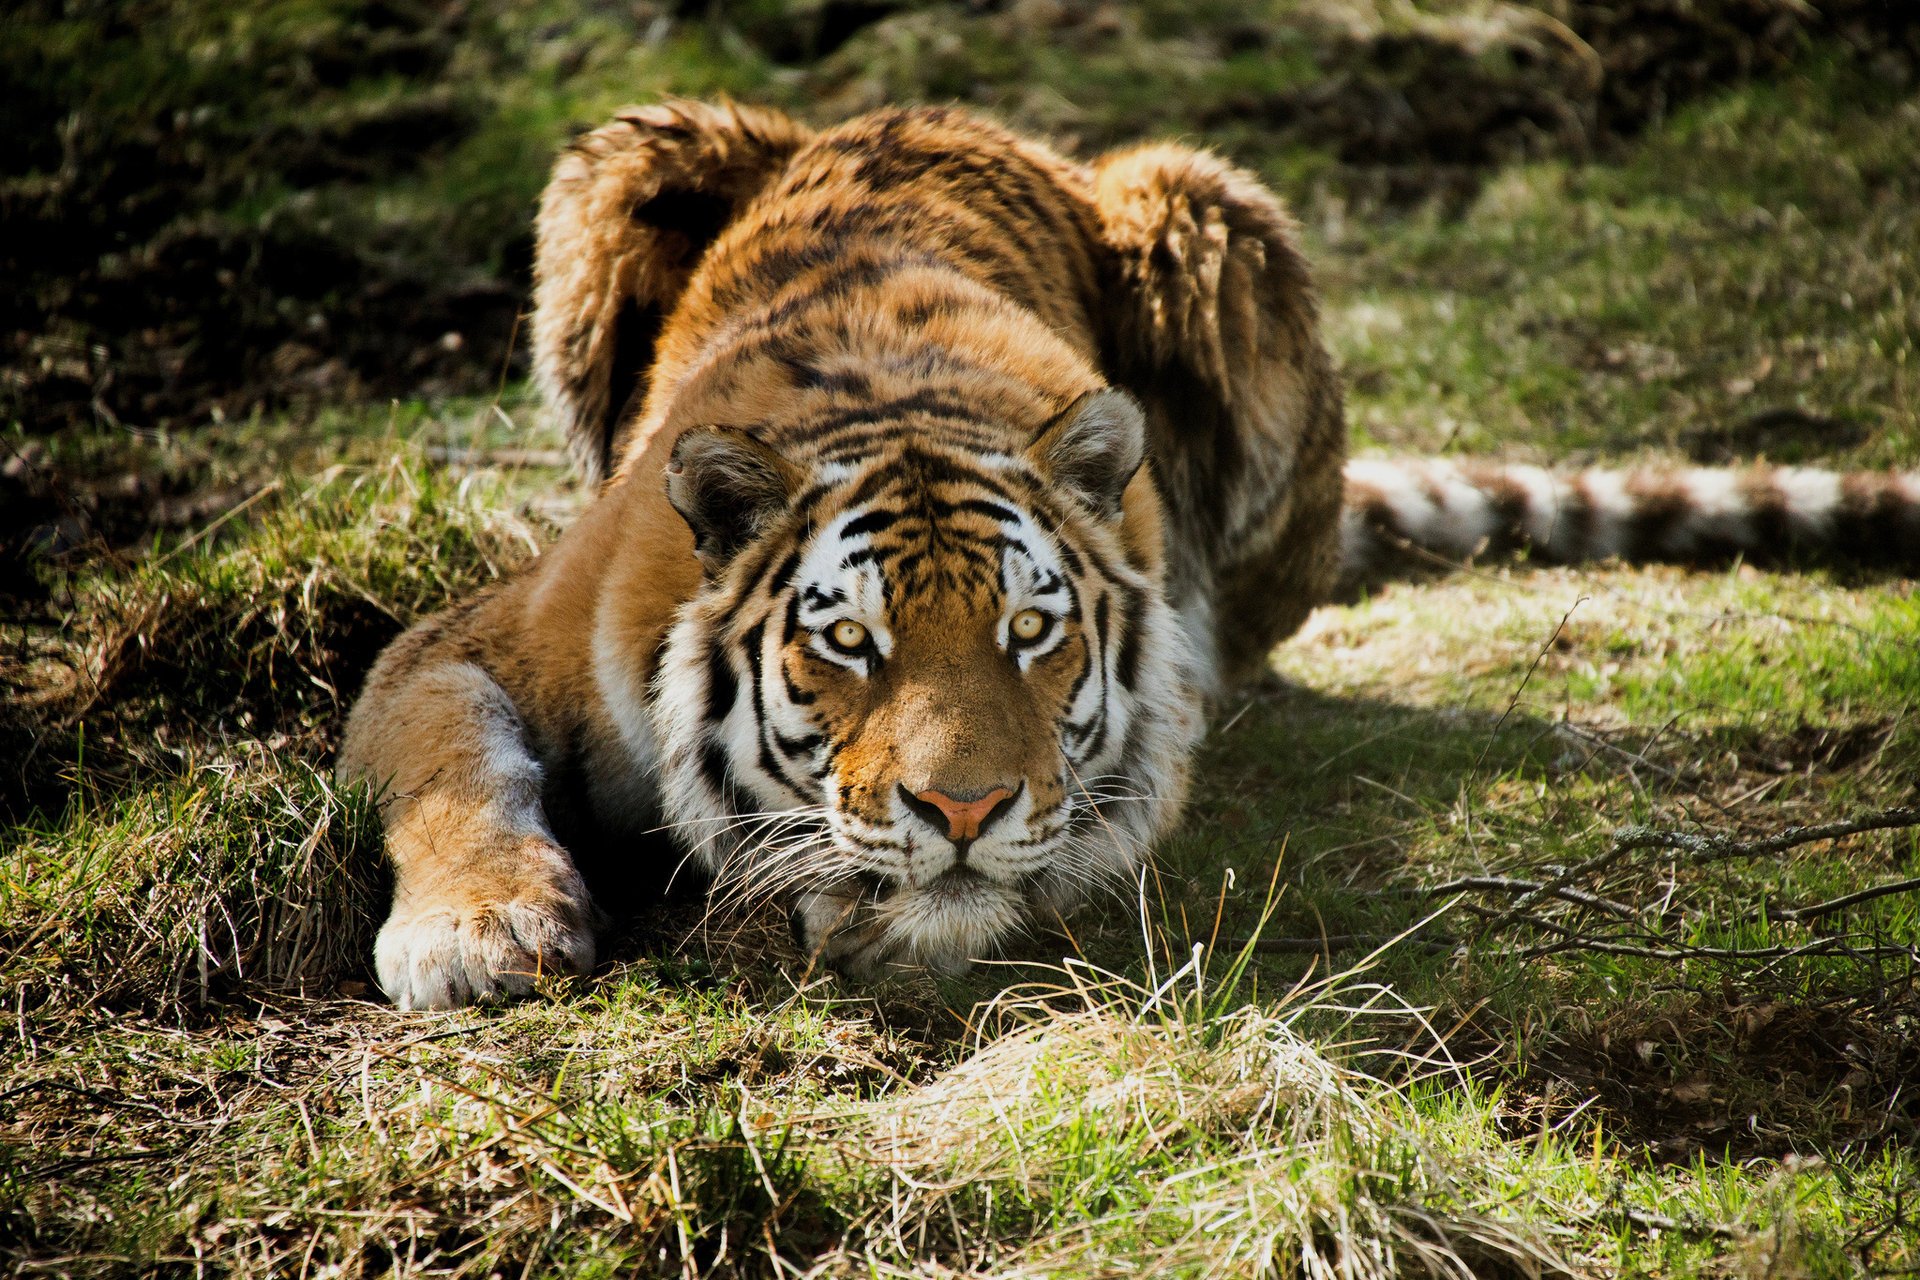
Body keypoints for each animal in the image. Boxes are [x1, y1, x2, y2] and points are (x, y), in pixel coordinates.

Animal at [338, 100, 1920, 1010]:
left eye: (1030, 634)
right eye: (848, 642)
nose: (962, 809)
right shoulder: (470, 638)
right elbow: (453, 763)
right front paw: (477, 933)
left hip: (1213, 216)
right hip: (623, 158)